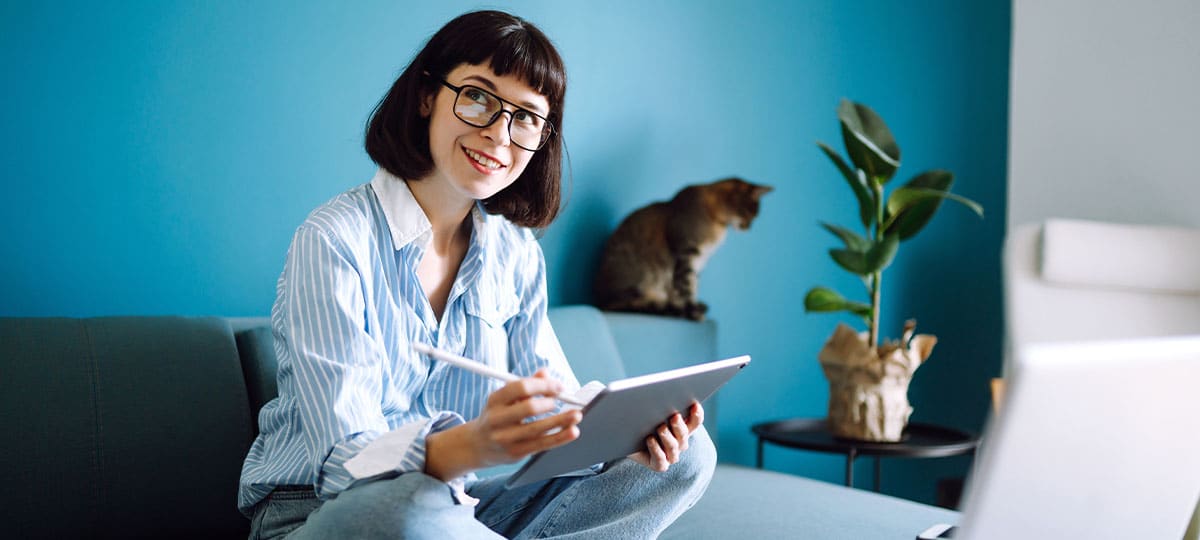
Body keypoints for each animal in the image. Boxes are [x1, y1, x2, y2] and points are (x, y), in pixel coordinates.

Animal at [592, 177, 777, 321]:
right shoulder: (686, 254)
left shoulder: (698, 260)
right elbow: (686, 286)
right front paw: (692, 311)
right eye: (751, 214)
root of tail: (600, 301)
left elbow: (691, 285)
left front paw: (691, 308)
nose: (749, 227)